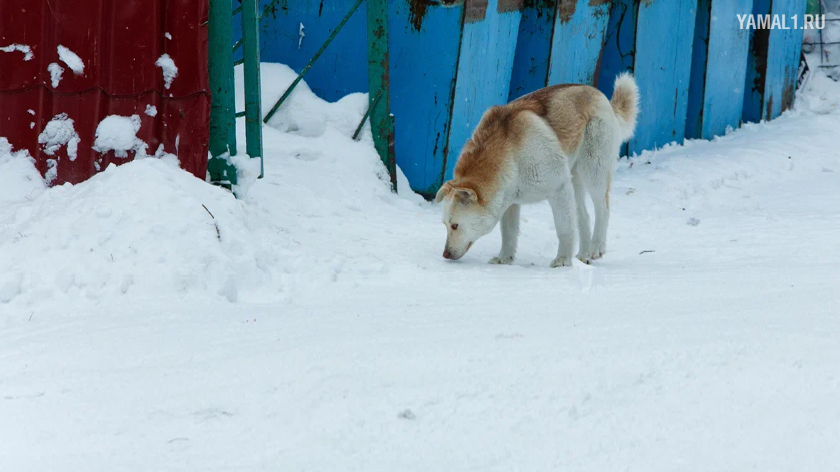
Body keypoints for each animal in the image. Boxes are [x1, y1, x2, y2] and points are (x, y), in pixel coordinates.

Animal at [436, 73, 640, 266]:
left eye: (454, 226)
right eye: (444, 224)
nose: (444, 255)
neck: (511, 155)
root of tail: (600, 95)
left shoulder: (558, 189)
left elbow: (564, 228)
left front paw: (563, 261)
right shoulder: (510, 202)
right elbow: (508, 233)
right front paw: (504, 260)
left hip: (593, 171)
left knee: (603, 209)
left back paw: (596, 247)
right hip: (574, 181)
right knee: (584, 216)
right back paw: (584, 256)